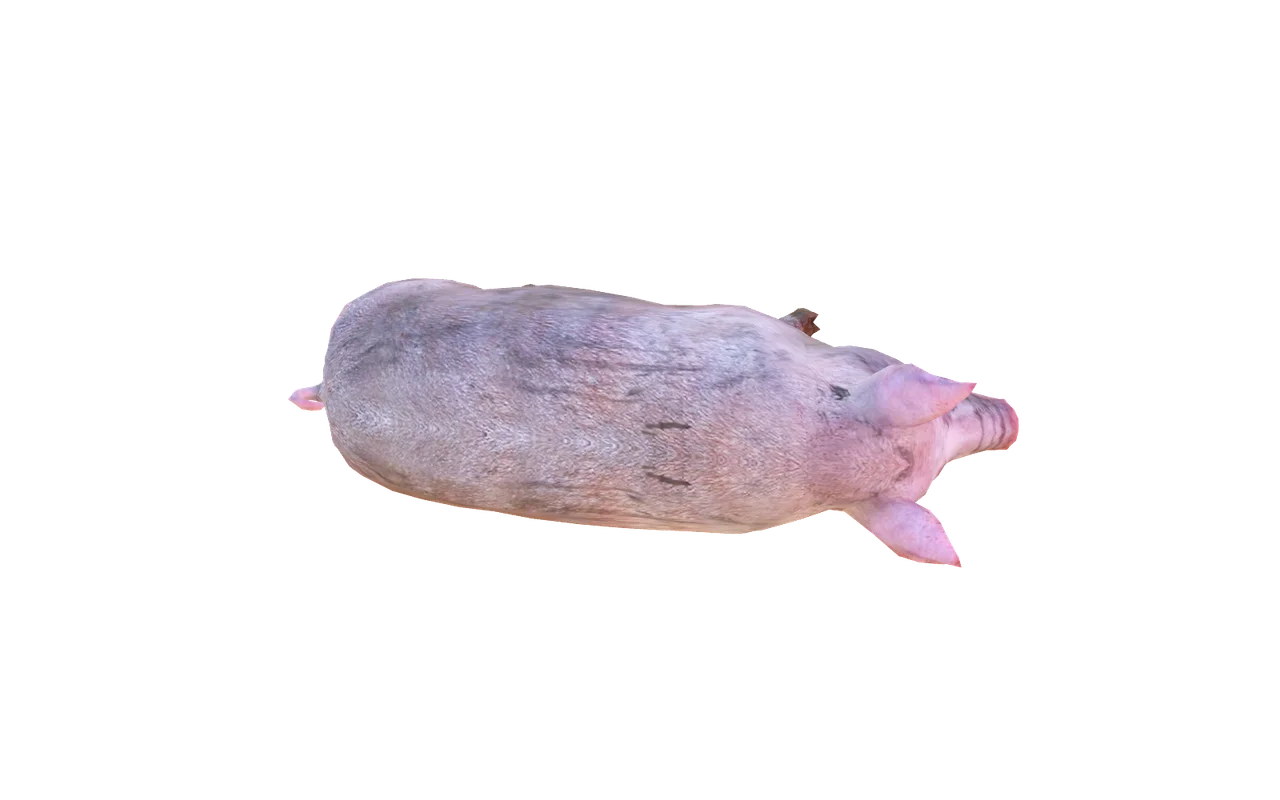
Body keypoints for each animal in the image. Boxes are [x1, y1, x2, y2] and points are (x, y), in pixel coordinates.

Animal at [290, 278, 1020, 566]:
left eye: (930, 471)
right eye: (869, 363)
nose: (1009, 418)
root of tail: (331, 388)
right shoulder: (744, 326)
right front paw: (808, 315)